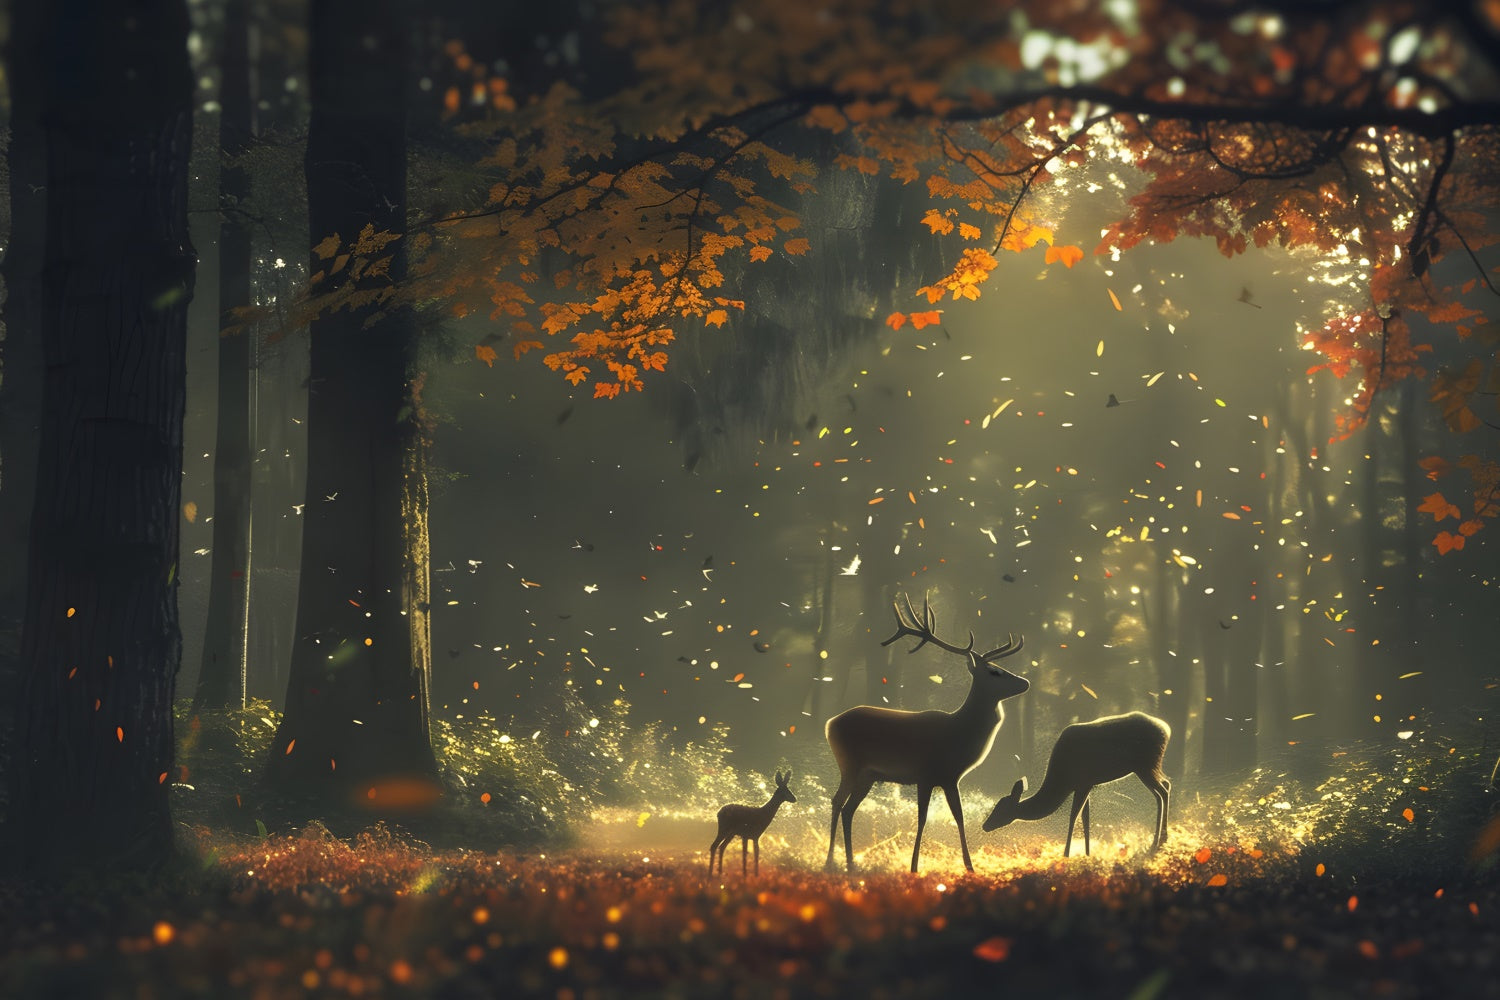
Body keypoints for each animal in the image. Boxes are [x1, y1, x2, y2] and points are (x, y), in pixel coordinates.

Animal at [824, 594, 1027, 874]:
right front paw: (913, 867)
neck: (959, 734)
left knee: (848, 809)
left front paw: (970, 867)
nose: (1025, 682)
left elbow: (959, 817)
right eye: (994, 671)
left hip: (868, 775)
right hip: (849, 764)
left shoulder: (950, 777)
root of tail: (830, 723)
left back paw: (852, 864)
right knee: (836, 802)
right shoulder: (925, 774)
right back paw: (829, 862)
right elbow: (922, 819)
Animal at [981, 711, 1171, 857]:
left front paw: (1066, 854)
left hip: (1146, 764)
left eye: (1001, 809)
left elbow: (1074, 817)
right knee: (1167, 784)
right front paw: (1087, 854)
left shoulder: (1081, 782)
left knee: (1162, 792)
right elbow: (1085, 818)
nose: (985, 826)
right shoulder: (1086, 785)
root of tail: (1166, 730)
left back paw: (1158, 841)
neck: (1062, 782)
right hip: (1150, 766)